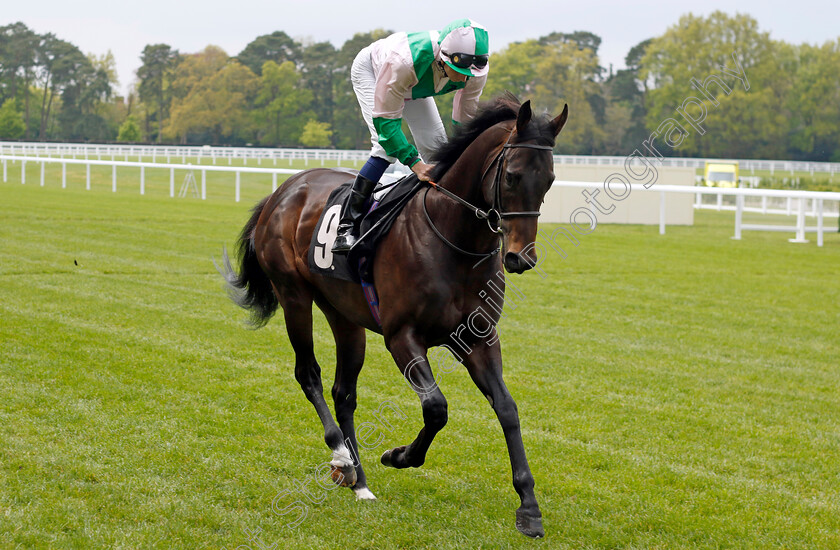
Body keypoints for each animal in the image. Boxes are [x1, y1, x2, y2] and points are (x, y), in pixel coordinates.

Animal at [220, 95, 568, 540]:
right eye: (512, 176)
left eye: (550, 180)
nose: (520, 258)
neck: (453, 240)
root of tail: (284, 190)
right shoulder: (402, 336)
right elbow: (436, 407)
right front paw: (399, 455)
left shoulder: (480, 336)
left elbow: (507, 408)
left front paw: (528, 506)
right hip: (294, 295)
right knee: (308, 374)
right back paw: (341, 456)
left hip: (345, 316)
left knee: (343, 392)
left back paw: (360, 481)